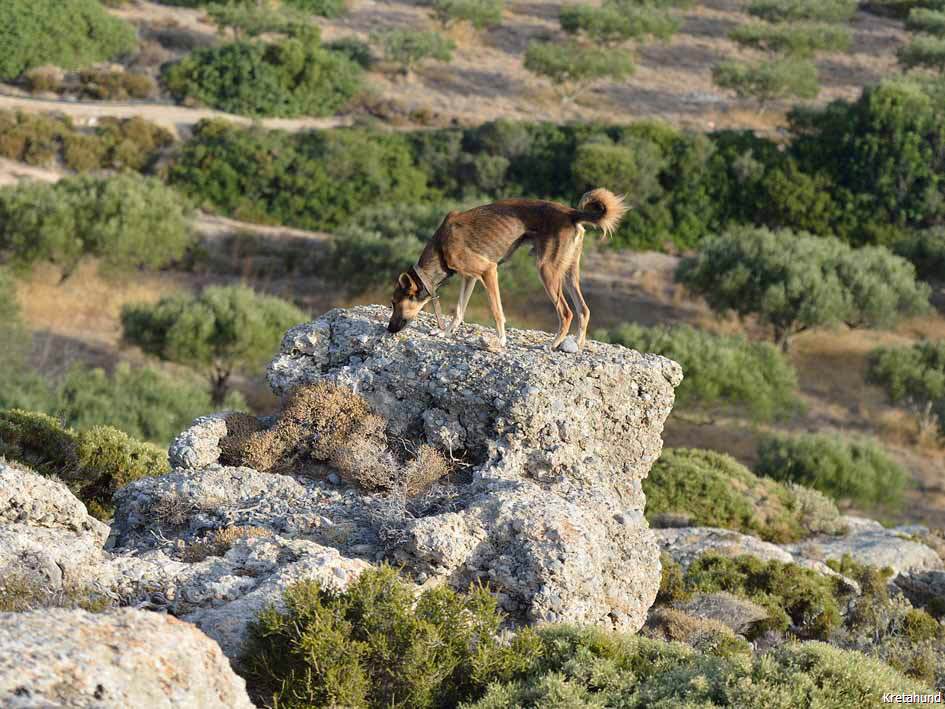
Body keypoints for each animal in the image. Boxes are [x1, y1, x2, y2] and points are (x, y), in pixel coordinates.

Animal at [387, 187, 628, 351]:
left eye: (394, 303)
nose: (389, 329)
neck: (440, 247)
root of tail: (571, 213)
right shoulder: (469, 278)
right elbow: (459, 310)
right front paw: (445, 333)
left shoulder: (488, 270)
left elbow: (496, 311)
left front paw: (501, 340)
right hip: (569, 272)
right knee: (583, 310)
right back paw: (577, 344)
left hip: (547, 270)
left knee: (566, 312)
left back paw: (552, 344)